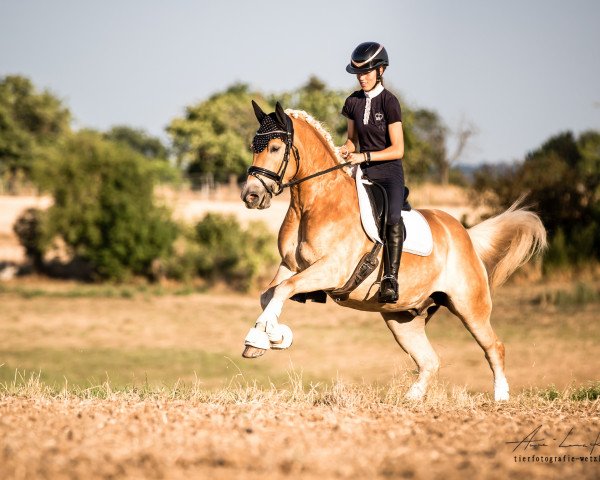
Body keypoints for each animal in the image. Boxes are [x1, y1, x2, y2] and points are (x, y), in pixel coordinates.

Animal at [238, 101, 544, 402]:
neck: (314, 203)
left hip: (469, 306)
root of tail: (465, 236)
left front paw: (264, 337)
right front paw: (269, 337)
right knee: (430, 361)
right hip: (402, 317)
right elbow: (269, 294)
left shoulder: (331, 270)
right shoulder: (291, 266)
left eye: (274, 148)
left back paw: (500, 397)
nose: (251, 196)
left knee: (494, 346)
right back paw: (411, 399)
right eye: (254, 146)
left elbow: (282, 289)